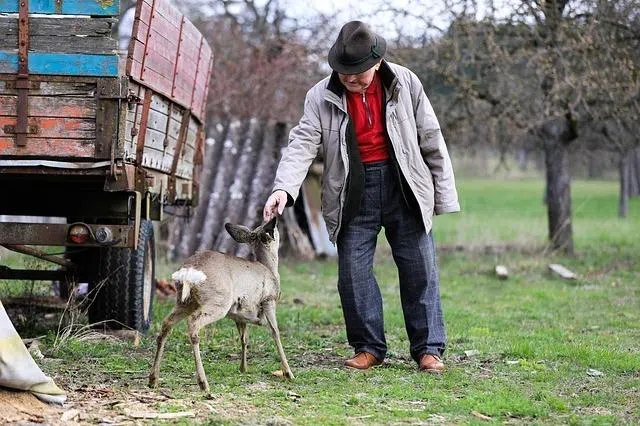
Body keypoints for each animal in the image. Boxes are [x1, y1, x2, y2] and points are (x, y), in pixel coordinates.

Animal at [148, 218, 294, 392]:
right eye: (275, 230)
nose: (276, 222)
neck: (269, 270)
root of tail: (189, 272)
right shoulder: (268, 300)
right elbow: (275, 332)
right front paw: (288, 373)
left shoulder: (240, 315)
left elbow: (244, 338)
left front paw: (243, 368)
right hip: (218, 301)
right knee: (193, 323)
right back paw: (203, 384)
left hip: (185, 301)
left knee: (166, 324)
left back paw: (153, 379)